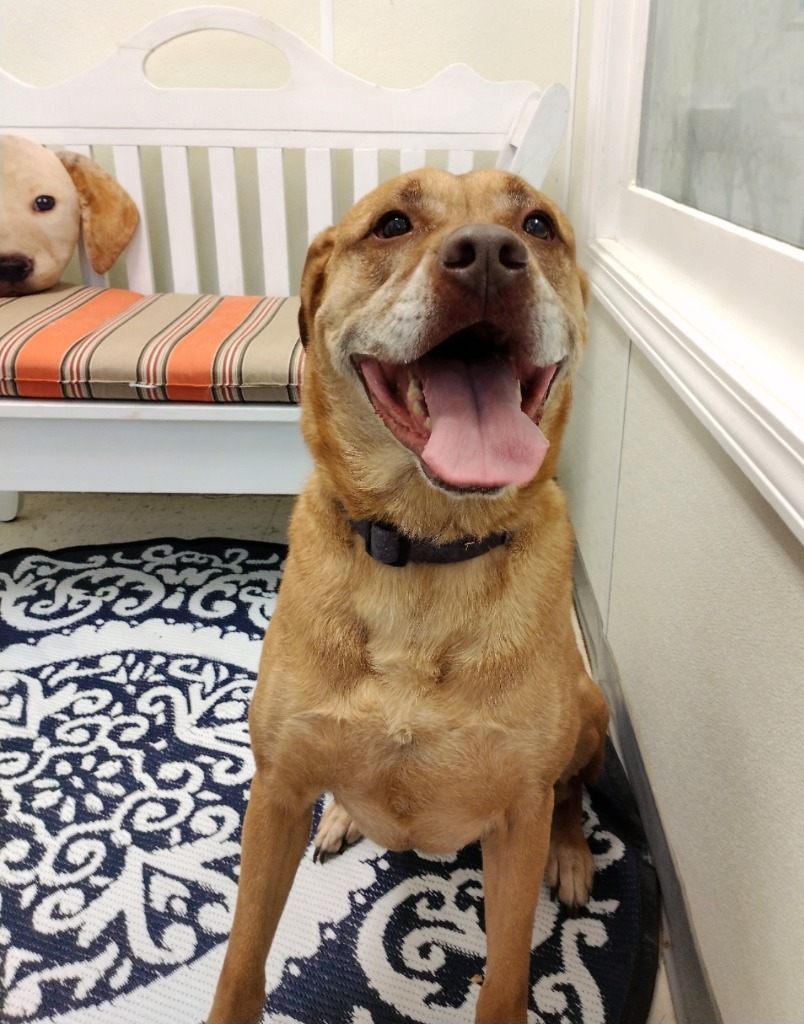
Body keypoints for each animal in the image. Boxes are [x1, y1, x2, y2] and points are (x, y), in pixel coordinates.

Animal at [206, 167, 610, 1024]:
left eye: (538, 224)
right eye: (392, 223)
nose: (490, 256)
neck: (426, 550)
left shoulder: (516, 816)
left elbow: (506, 978)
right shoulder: (276, 790)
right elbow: (241, 961)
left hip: (590, 711)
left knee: (571, 794)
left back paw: (573, 854)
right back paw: (343, 816)